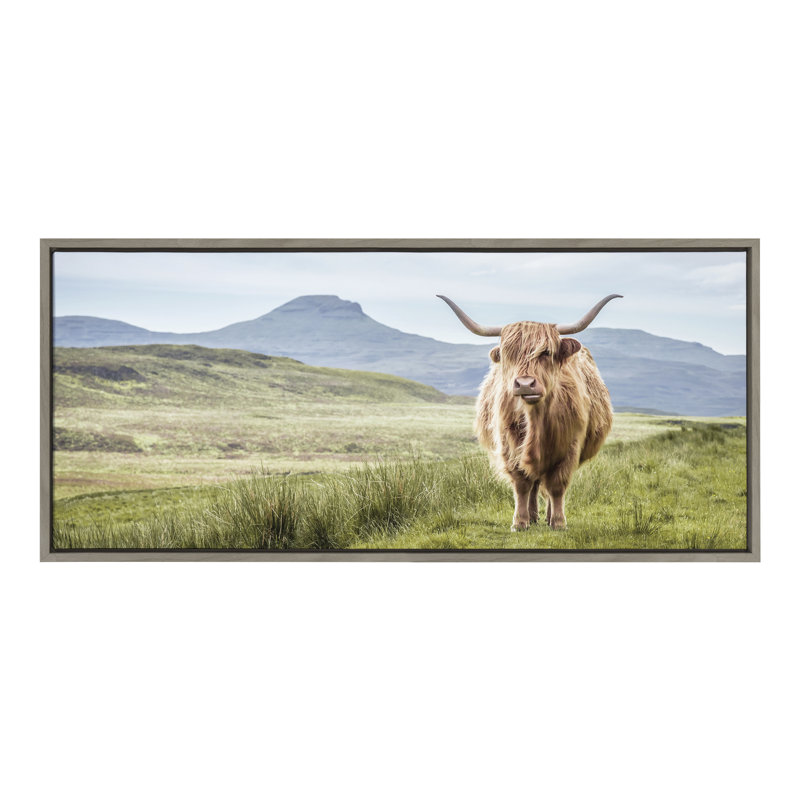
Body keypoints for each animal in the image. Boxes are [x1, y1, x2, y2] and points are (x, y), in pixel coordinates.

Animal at [438, 294, 622, 531]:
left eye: (546, 353)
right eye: (508, 354)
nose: (525, 384)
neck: (536, 420)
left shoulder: (570, 446)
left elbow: (557, 485)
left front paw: (559, 522)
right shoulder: (509, 445)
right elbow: (522, 483)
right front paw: (520, 522)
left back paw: (548, 516)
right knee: (534, 483)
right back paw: (533, 516)